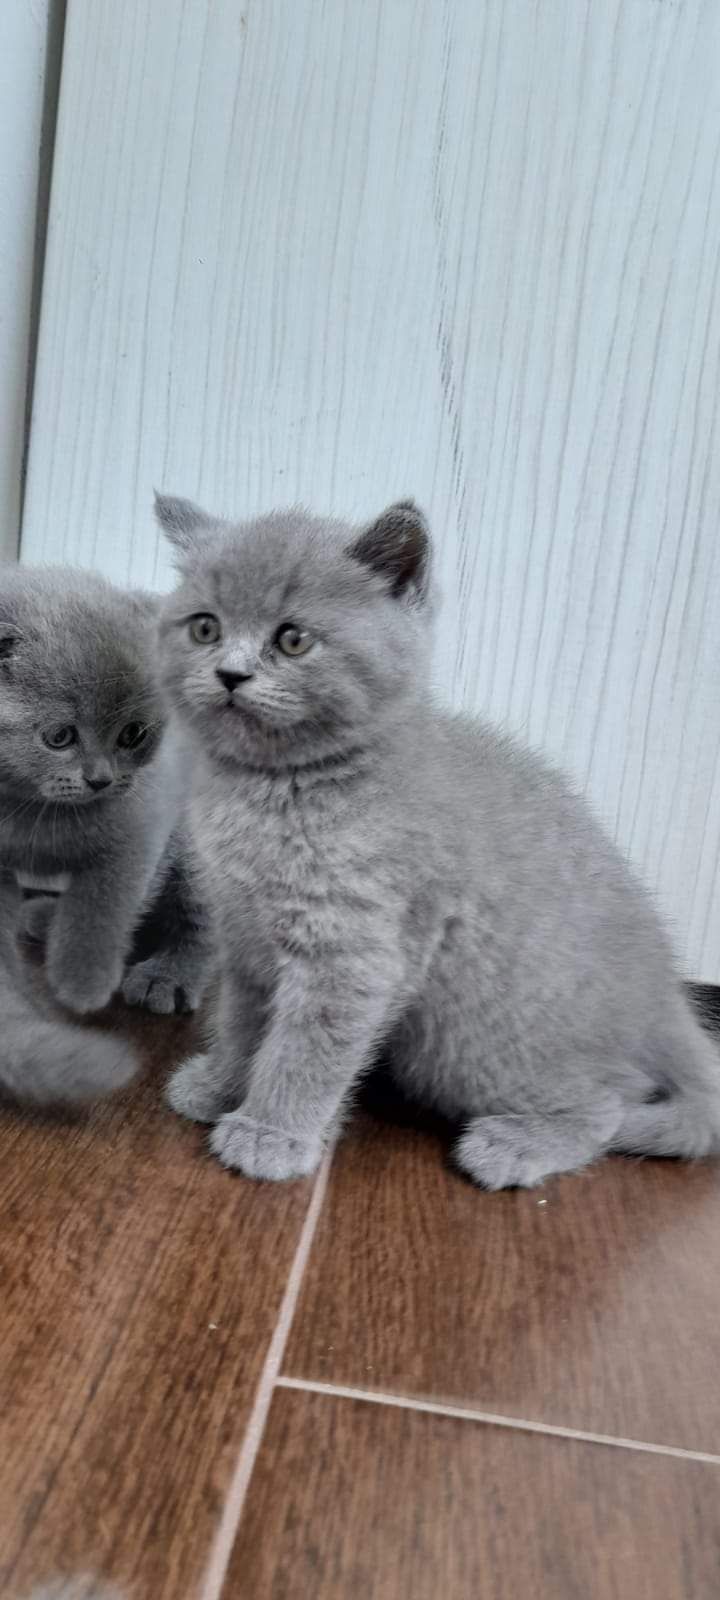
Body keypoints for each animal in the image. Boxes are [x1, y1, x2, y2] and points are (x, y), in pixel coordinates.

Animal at [0, 563, 208, 1100]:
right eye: (59, 736)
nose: (100, 779)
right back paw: (43, 918)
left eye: (132, 735)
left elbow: (104, 905)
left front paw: (84, 983)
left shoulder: (142, 830)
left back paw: (167, 976)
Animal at [156, 496, 720, 1190]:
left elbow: (306, 1048)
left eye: (292, 639)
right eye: (205, 628)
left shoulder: (355, 953)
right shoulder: (246, 940)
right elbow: (242, 1024)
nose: (230, 674)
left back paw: (516, 1145)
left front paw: (272, 1132)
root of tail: (666, 994)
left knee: (610, 1101)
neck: (278, 790)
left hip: (467, 1044)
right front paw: (219, 1086)